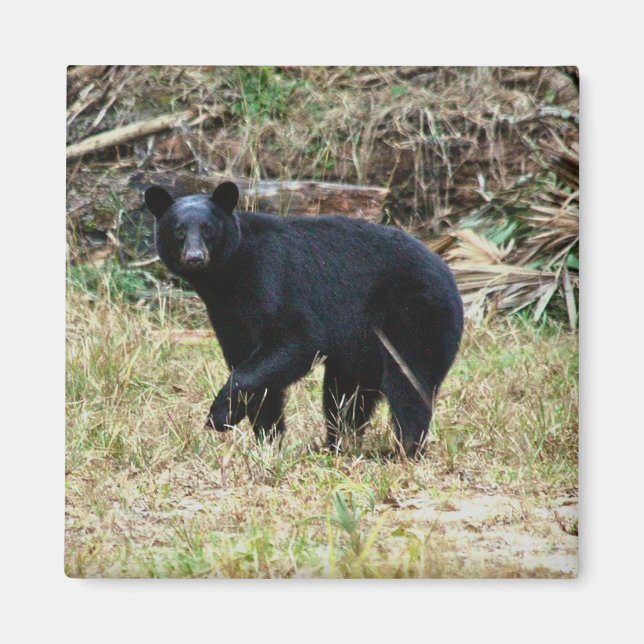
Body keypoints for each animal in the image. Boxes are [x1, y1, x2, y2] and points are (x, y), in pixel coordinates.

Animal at [145, 180, 464, 458]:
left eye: (208, 229)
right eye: (179, 230)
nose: (195, 257)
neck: (227, 278)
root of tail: (449, 276)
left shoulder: (270, 280)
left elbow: (297, 340)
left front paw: (219, 414)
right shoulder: (227, 315)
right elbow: (253, 368)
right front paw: (268, 440)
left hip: (415, 315)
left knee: (408, 382)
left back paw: (404, 450)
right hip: (363, 344)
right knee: (345, 394)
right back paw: (338, 444)